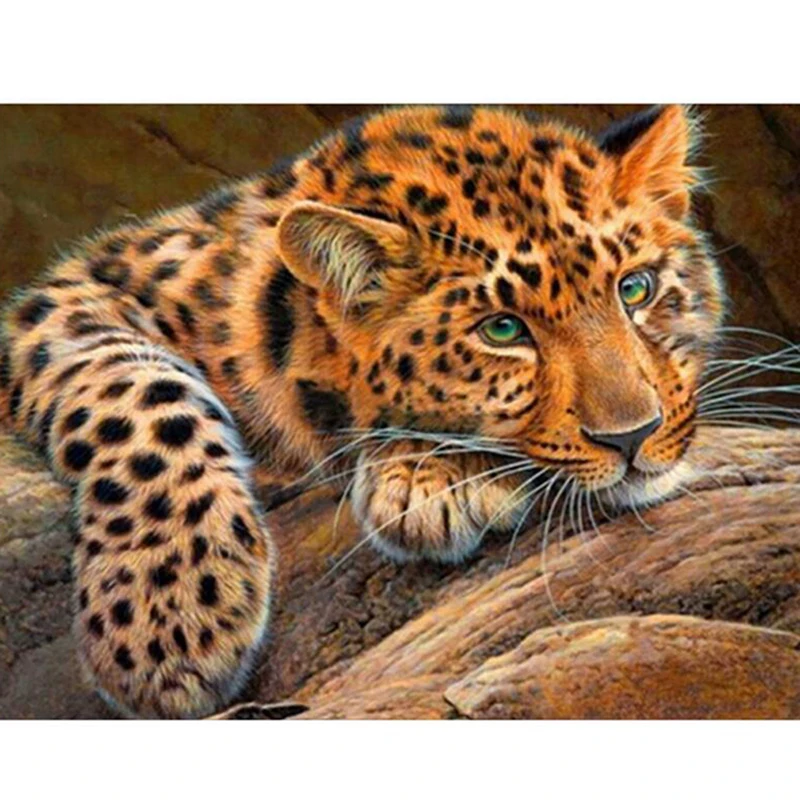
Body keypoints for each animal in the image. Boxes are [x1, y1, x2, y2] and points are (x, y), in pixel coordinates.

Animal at [0, 104, 723, 718]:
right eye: (502, 330)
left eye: (636, 289)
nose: (635, 435)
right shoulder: (70, 296)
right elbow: (140, 392)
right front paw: (169, 613)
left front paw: (429, 476)